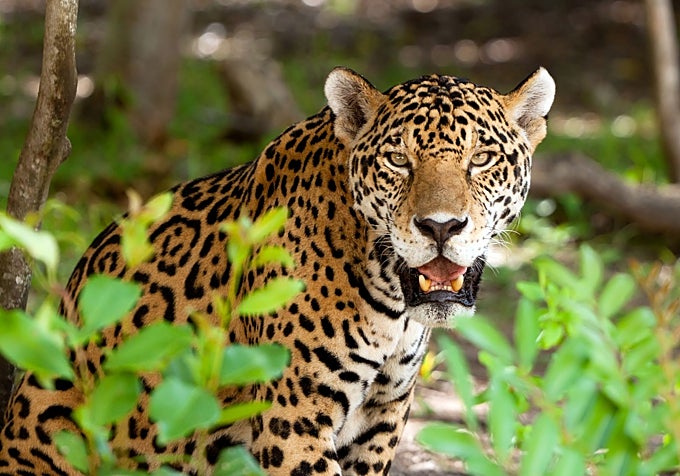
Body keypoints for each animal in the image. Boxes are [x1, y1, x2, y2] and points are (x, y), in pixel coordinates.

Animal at [0, 66, 554, 475]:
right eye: (398, 160)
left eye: (481, 159)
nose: (441, 227)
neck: (390, 302)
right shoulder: (295, 422)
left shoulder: (381, 421)